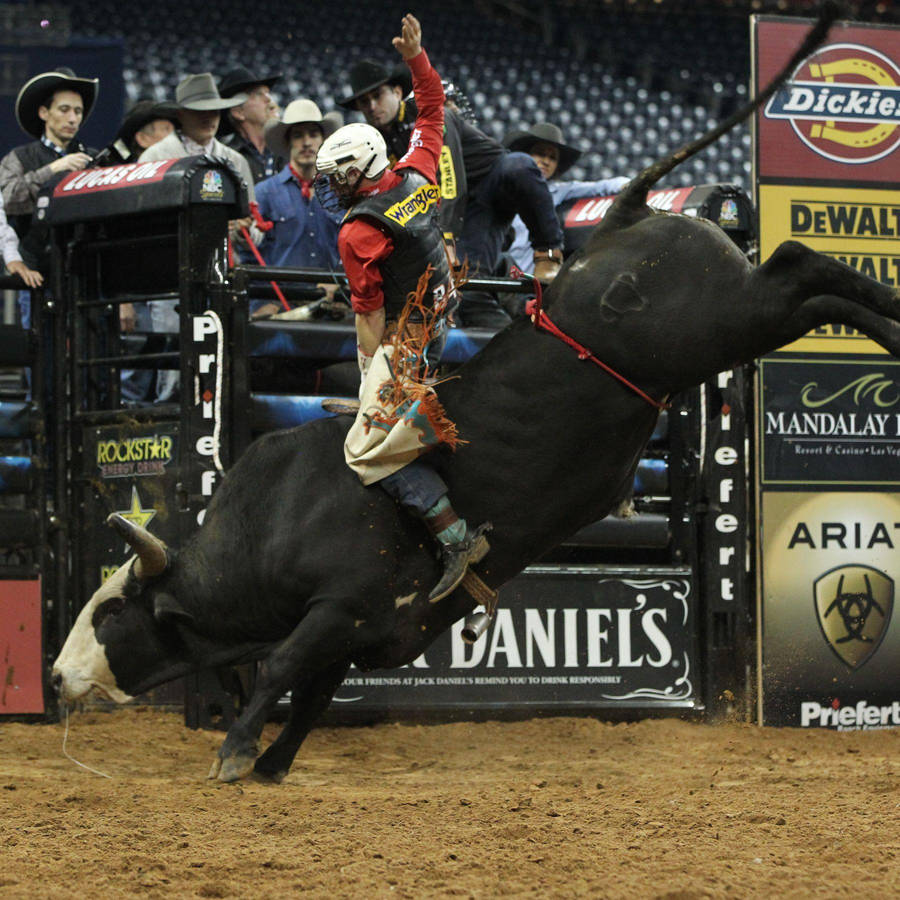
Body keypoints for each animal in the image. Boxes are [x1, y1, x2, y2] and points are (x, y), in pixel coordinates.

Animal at [58, 5, 900, 780]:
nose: (59, 676)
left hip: (718, 322)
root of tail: (623, 222)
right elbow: (310, 698)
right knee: (808, 279)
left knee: (798, 266)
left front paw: (234, 753)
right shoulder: (362, 628)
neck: (269, 527)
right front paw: (270, 765)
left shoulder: (333, 608)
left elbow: (281, 673)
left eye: (111, 610)